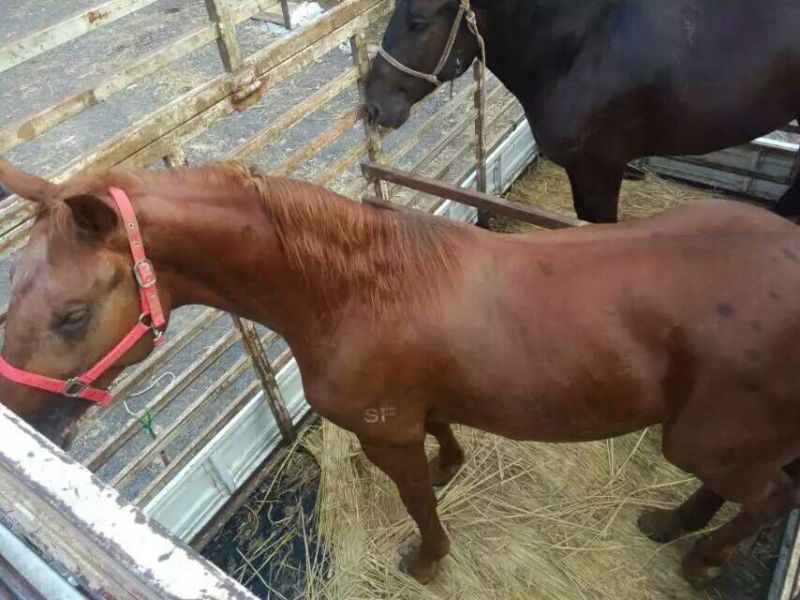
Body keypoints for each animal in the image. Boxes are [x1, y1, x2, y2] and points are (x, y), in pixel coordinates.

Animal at [2, 160, 800, 588]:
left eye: (72, 314)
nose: (16, 406)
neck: (354, 292)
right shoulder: (418, 408)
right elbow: (444, 439)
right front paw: (451, 467)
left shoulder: (386, 434)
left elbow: (416, 501)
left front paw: (426, 560)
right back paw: (672, 524)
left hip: (705, 439)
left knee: (768, 497)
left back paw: (701, 559)